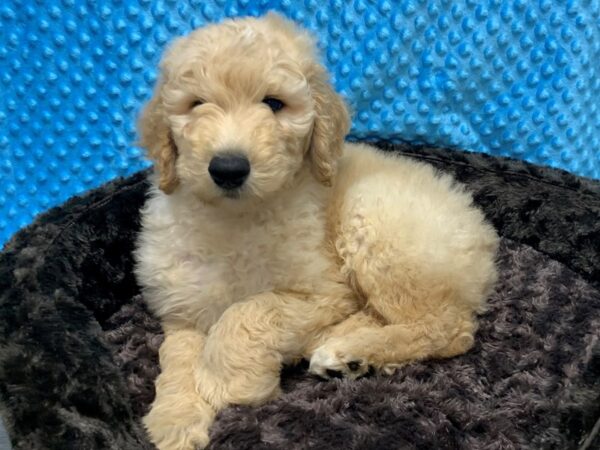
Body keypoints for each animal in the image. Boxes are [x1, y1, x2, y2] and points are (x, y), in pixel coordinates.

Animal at [134, 12, 500, 448]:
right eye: (196, 104)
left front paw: (227, 382)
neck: (235, 217)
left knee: (448, 327)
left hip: (377, 225)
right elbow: (177, 354)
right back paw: (340, 349)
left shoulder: (324, 290)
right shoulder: (182, 305)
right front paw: (176, 417)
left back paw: (348, 352)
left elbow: (251, 309)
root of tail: (481, 234)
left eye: (274, 104)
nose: (228, 168)